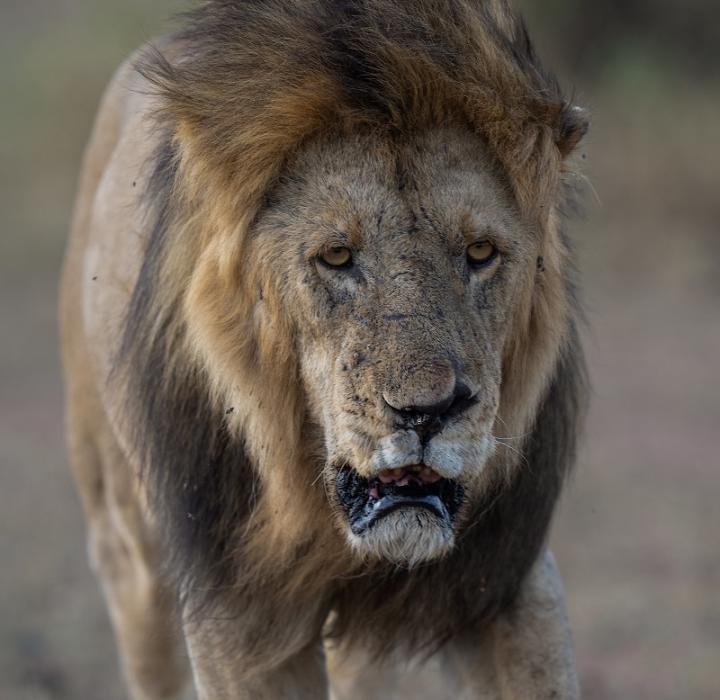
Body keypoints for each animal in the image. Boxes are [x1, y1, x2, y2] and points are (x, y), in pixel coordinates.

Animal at [60, 1, 589, 698]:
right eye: (337, 257)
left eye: (480, 252)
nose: (428, 413)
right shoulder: (238, 609)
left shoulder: (506, 580)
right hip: (125, 539)